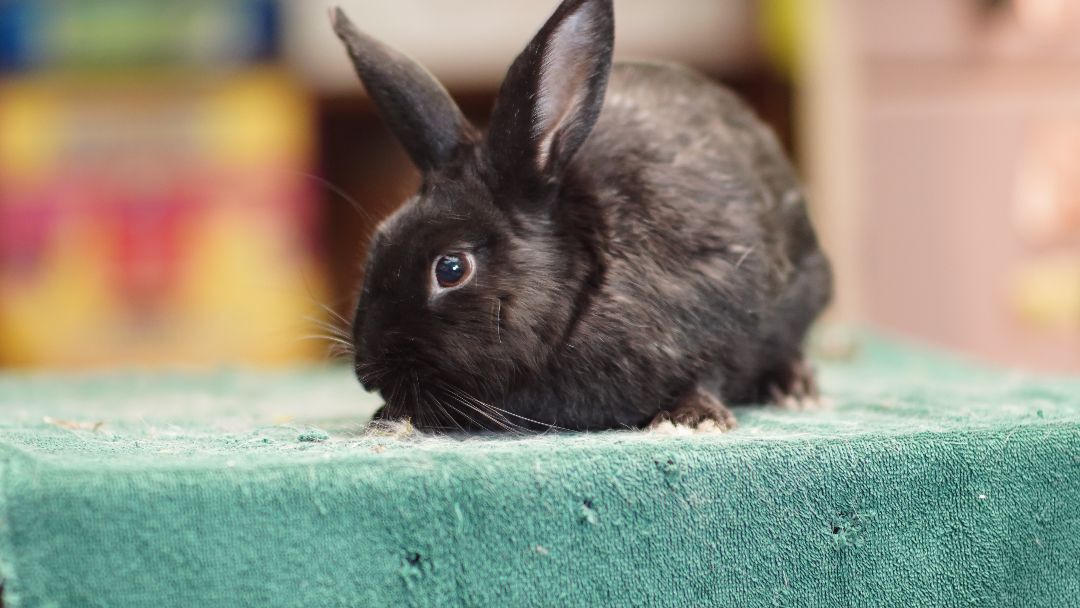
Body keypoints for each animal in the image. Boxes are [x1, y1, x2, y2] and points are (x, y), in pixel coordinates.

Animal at [332, 0, 832, 432]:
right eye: (378, 242)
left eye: (451, 268)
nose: (367, 373)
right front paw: (386, 416)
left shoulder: (720, 312)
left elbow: (710, 371)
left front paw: (692, 418)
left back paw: (796, 388)